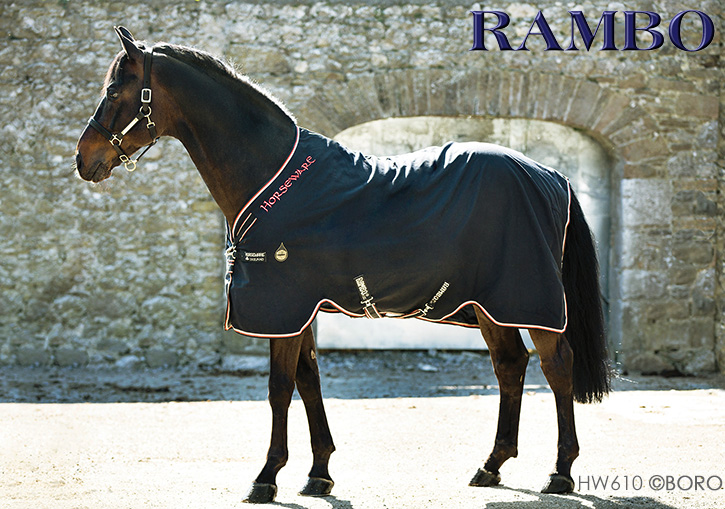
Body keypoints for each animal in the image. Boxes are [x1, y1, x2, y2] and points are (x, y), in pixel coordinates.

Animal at [74, 27, 611, 503]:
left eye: (115, 90)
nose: (83, 158)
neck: (271, 178)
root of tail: (551, 175)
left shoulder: (283, 310)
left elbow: (279, 388)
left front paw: (266, 478)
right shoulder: (301, 311)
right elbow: (308, 384)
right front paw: (318, 474)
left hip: (529, 301)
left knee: (556, 367)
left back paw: (560, 472)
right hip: (490, 306)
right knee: (510, 366)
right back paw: (491, 466)